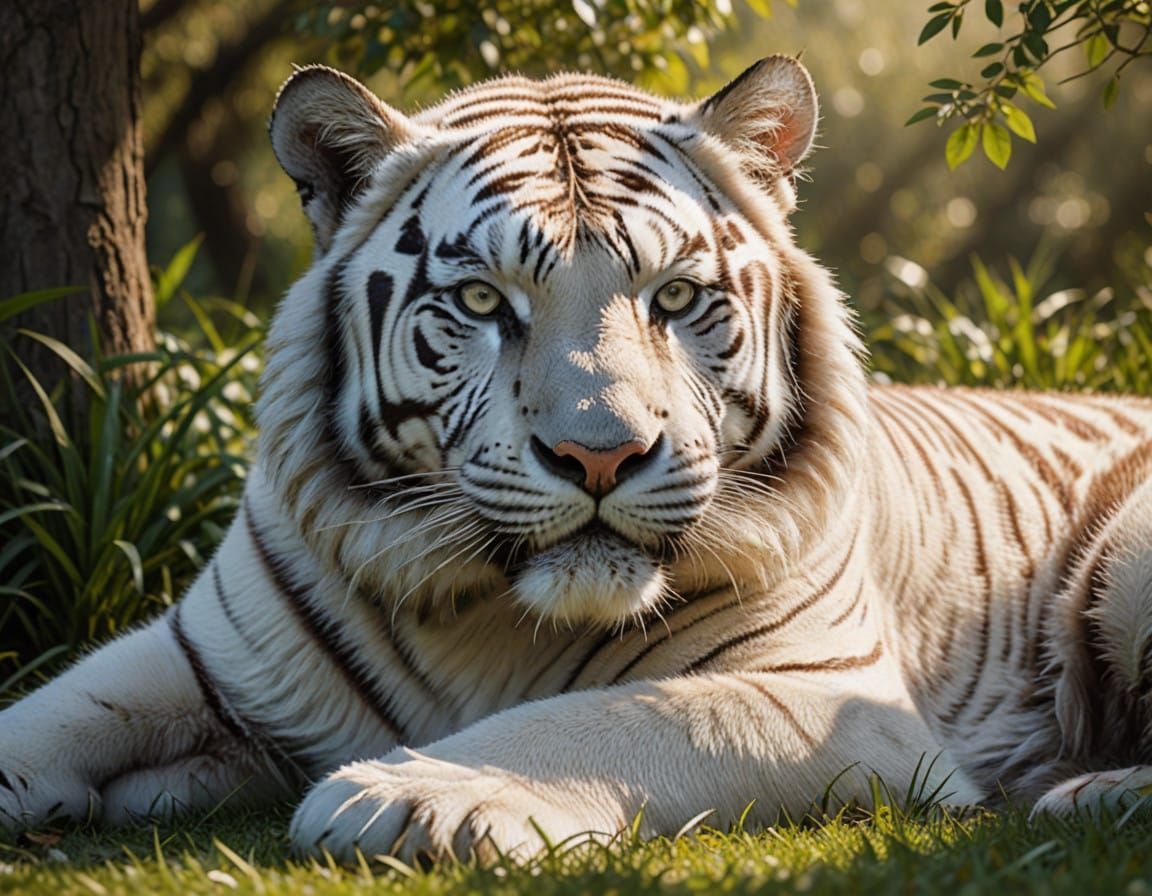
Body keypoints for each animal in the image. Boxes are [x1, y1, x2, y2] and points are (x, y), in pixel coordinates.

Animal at [2, 54, 1151, 864]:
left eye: (675, 297)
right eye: (480, 300)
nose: (600, 455)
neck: (484, 612)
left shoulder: (831, 695)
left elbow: (605, 718)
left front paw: (402, 794)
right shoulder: (202, 652)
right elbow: (46, 714)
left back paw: (1092, 793)